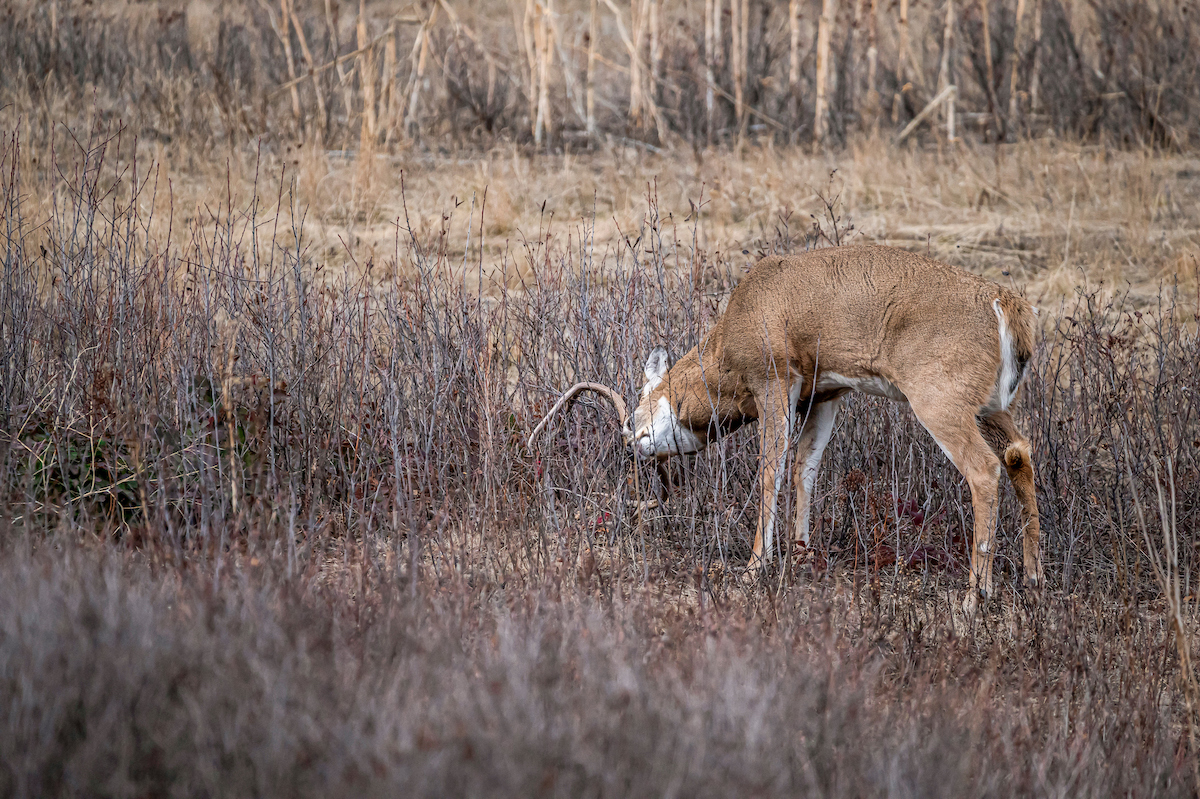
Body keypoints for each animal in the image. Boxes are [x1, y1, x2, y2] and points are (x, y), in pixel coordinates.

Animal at [528, 245, 1042, 615]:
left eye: (634, 411)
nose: (632, 445)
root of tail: (1006, 305)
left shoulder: (773, 379)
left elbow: (769, 471)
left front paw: (755, 567)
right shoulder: (826, 393)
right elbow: (804, 469)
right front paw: (800, 553)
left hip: (939, 399)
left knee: (984, 469)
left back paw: (975, 596)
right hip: (992, 404)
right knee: (1020, 451)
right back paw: (1033, 578)